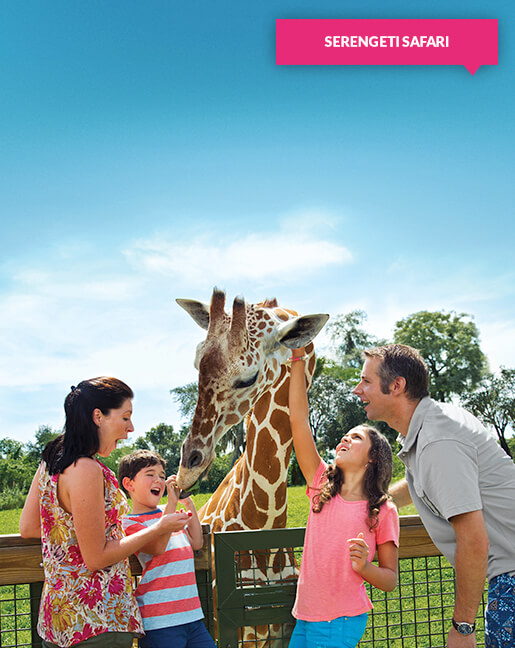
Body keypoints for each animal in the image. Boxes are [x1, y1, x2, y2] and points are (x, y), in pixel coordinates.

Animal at [175, 292, 328, 644]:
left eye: (248, 377)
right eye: (197, 364)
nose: (188, 466)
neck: (262, 521)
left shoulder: (280, 629)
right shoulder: (234, 631)